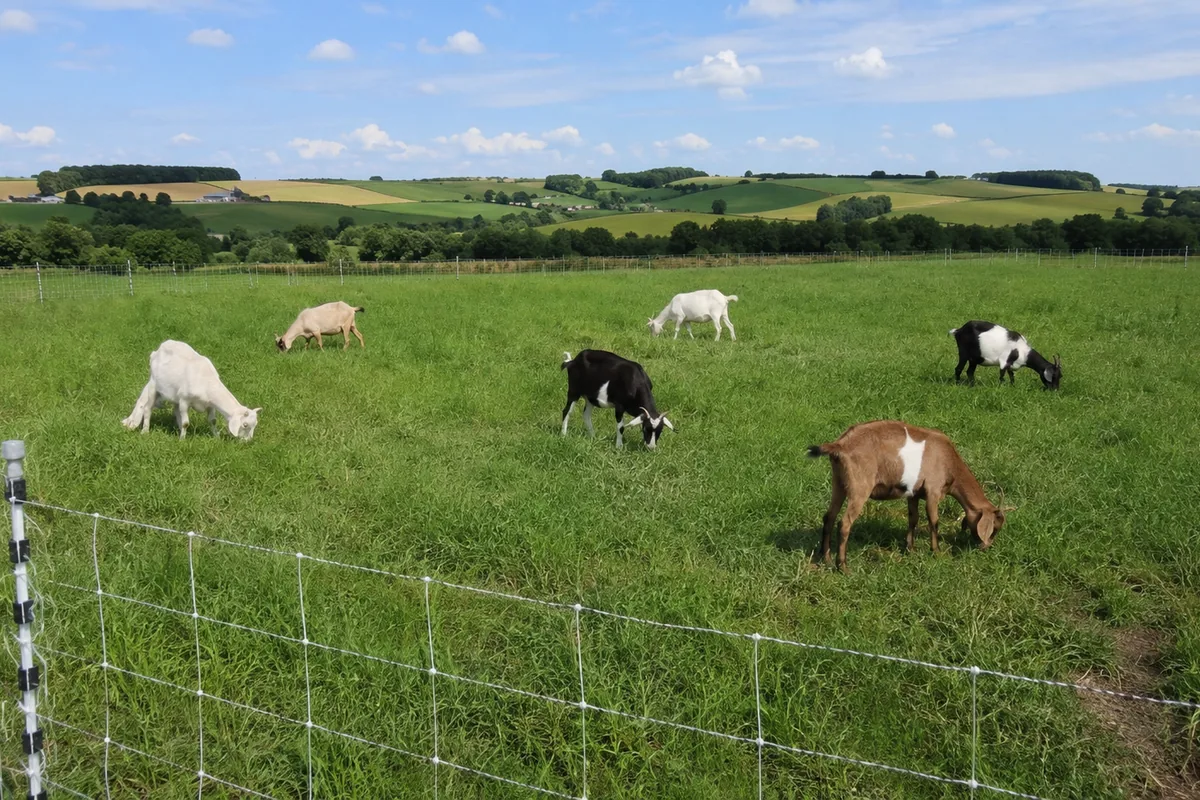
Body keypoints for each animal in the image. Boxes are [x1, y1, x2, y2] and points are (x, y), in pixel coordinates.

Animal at [121, 340, 261, 440]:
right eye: (245, 425)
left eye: (255, 424)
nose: (247, 441)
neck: (206, 382)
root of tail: (157, 350)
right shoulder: (184, 400)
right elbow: (186, 423)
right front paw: (182, 440)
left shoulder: (210, 405)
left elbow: (213, 421)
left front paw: (216, 437)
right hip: (153, 385)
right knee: (147, 408)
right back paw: (145, 431)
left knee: (175, 410)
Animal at [807, 420, 1007, 573]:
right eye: (994, 528)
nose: (985, 547)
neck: (950, 461)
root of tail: (841, 445)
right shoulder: (933, 490)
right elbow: (934, 522)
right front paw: (936, 552)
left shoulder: (913, 493)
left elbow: (913, 519)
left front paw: (910, 549)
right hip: (859, 487)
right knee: (844, 523)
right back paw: (843, 566)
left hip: (839, 484)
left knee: (829, 517)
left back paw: (826, 558)